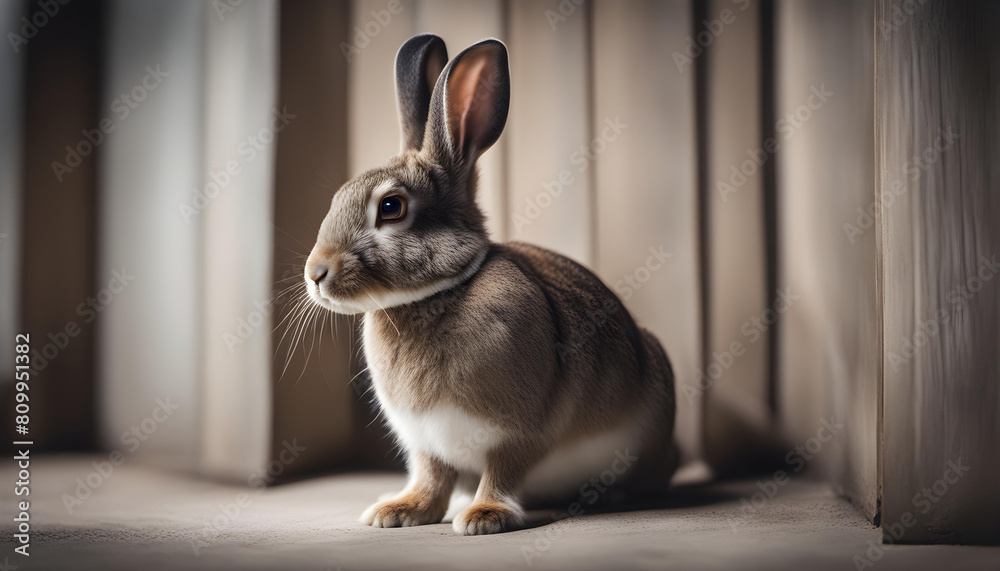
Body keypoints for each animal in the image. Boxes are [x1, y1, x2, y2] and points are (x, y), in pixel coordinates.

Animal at [304, 34, 677, 535]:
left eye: (391, 207)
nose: (315, 273)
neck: (440, 292)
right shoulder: (427, 442)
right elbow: (431, 477)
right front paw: (399, 512)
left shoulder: (518, 433)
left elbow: (502, 472)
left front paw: (484, 517)